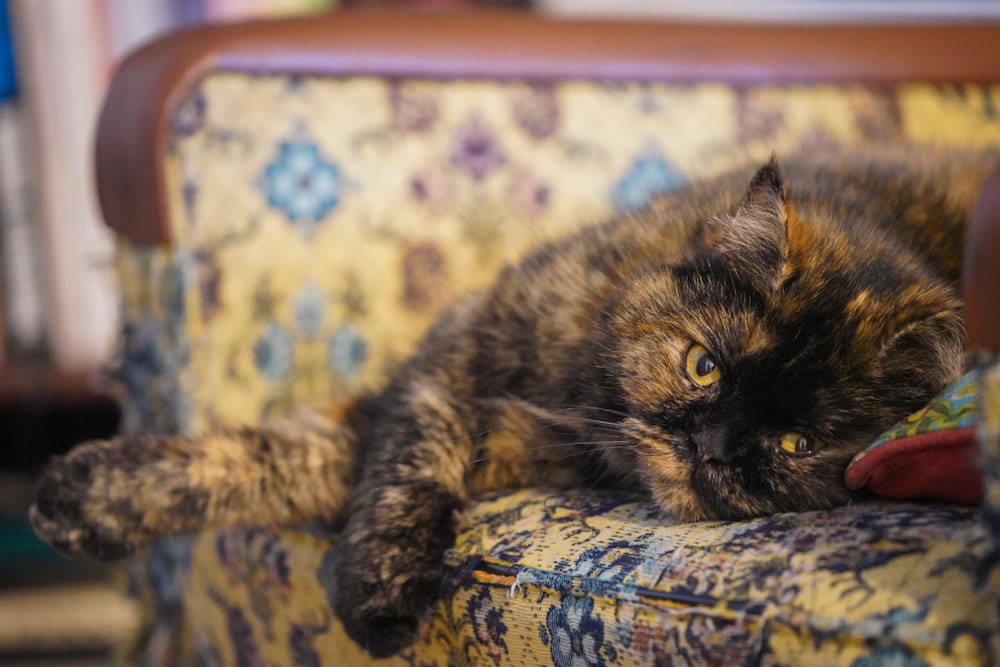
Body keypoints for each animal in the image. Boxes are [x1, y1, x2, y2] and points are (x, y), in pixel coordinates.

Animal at [29, 149, 992, 656]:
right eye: (703, 366)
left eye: (796, 445)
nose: (715, 447)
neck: (581, 393)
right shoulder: (446, 365)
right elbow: (292, 457)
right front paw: (84, 498)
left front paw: (373, 598)